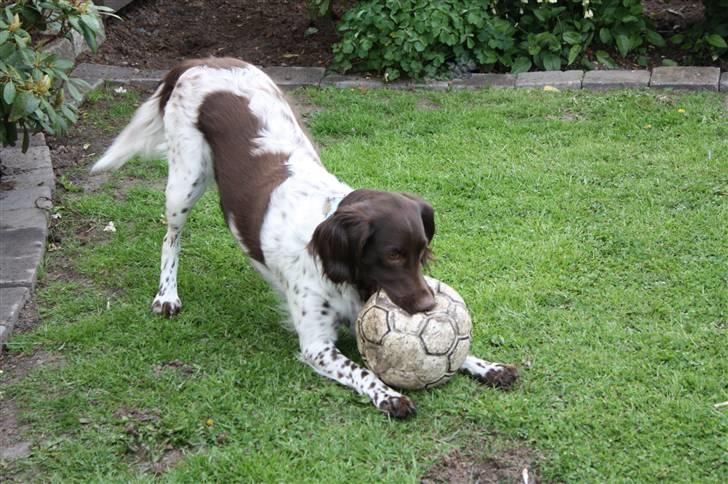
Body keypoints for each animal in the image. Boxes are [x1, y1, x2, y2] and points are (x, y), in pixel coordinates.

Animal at [92, 58, 516, 418]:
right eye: (393, 255)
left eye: (422, 252)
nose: (429, 306)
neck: (344, 273)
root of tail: (202, 61)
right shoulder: (317, 345)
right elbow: (363, 371)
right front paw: (389, 396)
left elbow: (457, 352)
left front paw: (486, 365)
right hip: (186, 180)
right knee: (171, 237)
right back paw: (167, 294)